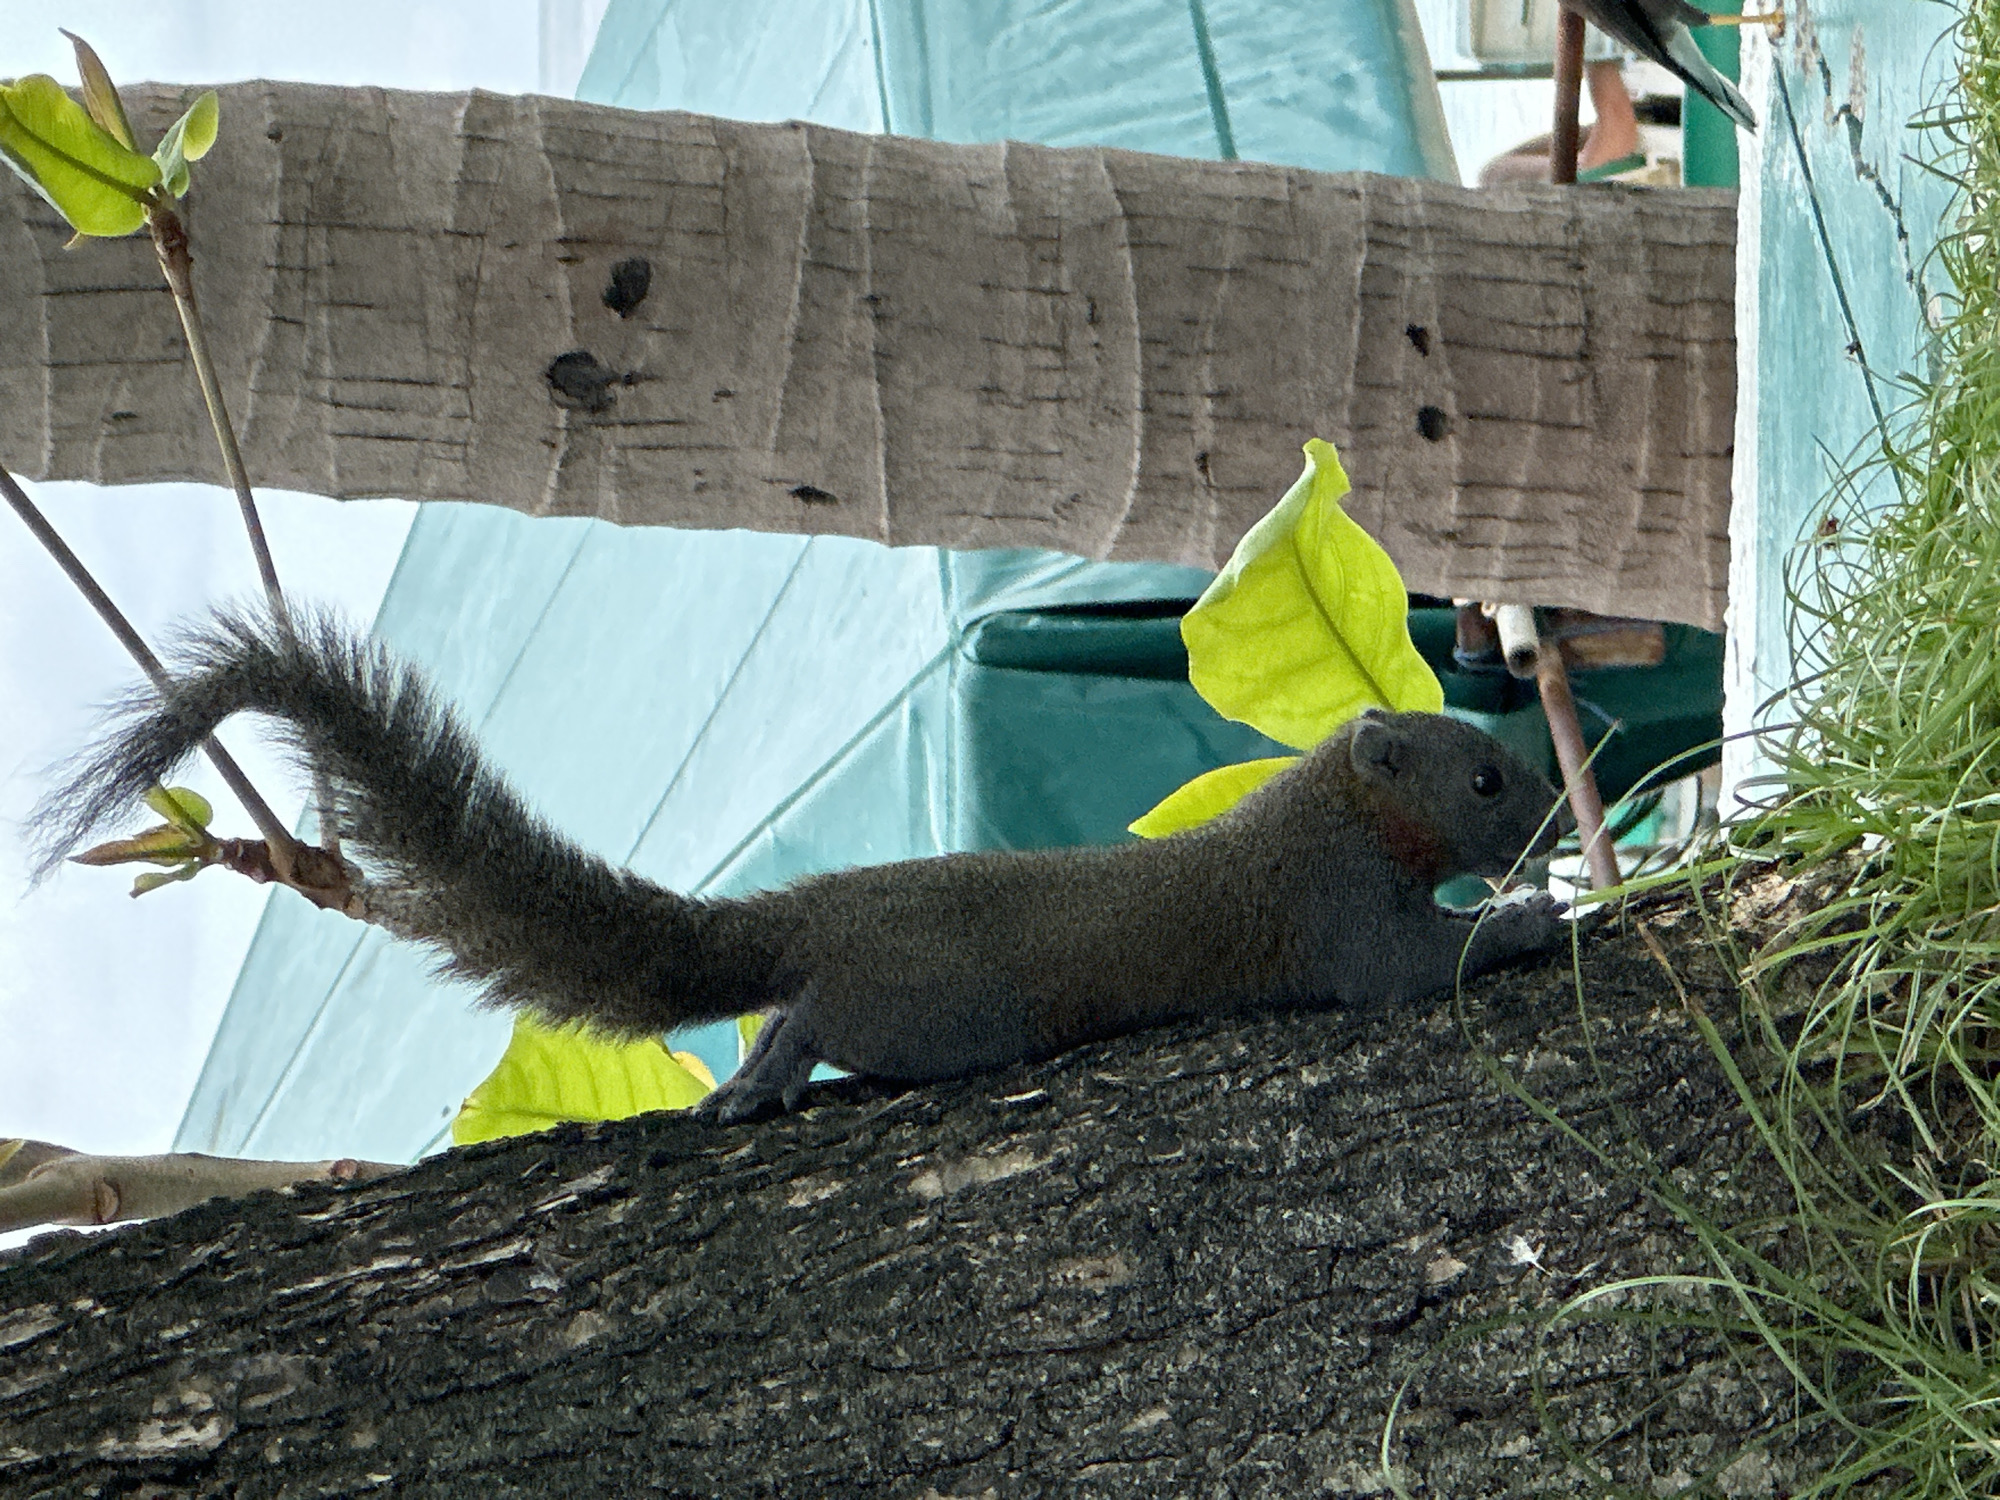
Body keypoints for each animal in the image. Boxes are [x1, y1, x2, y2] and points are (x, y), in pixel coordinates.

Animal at [34, 611, 1573, 1122]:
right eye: (1483, 777)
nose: (1564, 815)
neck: (1334, 807)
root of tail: (816, 911)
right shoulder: (1334, 912)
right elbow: (1408, 968)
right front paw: (1535, 918)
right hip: (936, 1010)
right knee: (823, 1011)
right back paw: (772, 1077)